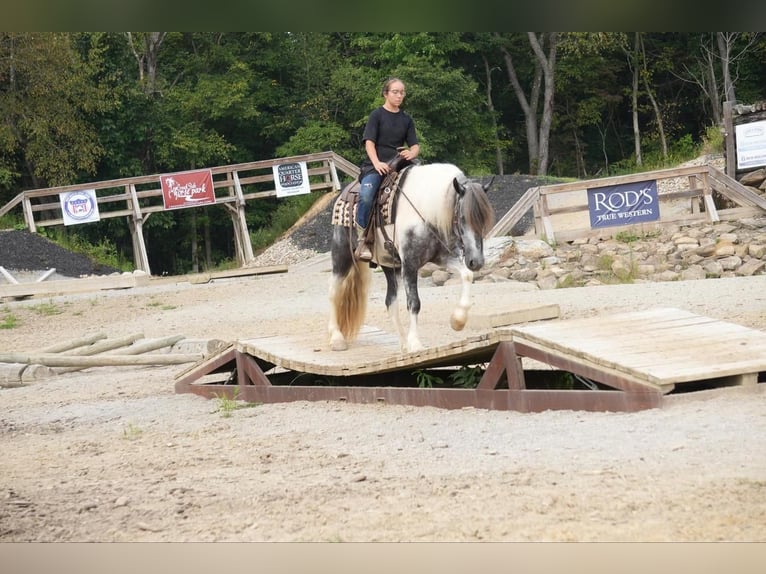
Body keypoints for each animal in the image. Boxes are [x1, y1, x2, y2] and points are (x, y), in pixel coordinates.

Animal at [326, 163, 496, 356]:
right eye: (462, 218)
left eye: (484, 219)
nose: (477, 261)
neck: (425, 211)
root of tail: (346, 191)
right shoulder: (410, 264)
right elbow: (414, 303)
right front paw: (415, 343)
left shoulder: (443, 257)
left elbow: (467, 275)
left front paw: (458, 321)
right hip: (342, 255)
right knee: (333, 292)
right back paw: (336, 339)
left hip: (390, 265)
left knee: (390, 302)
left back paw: (403, 344)